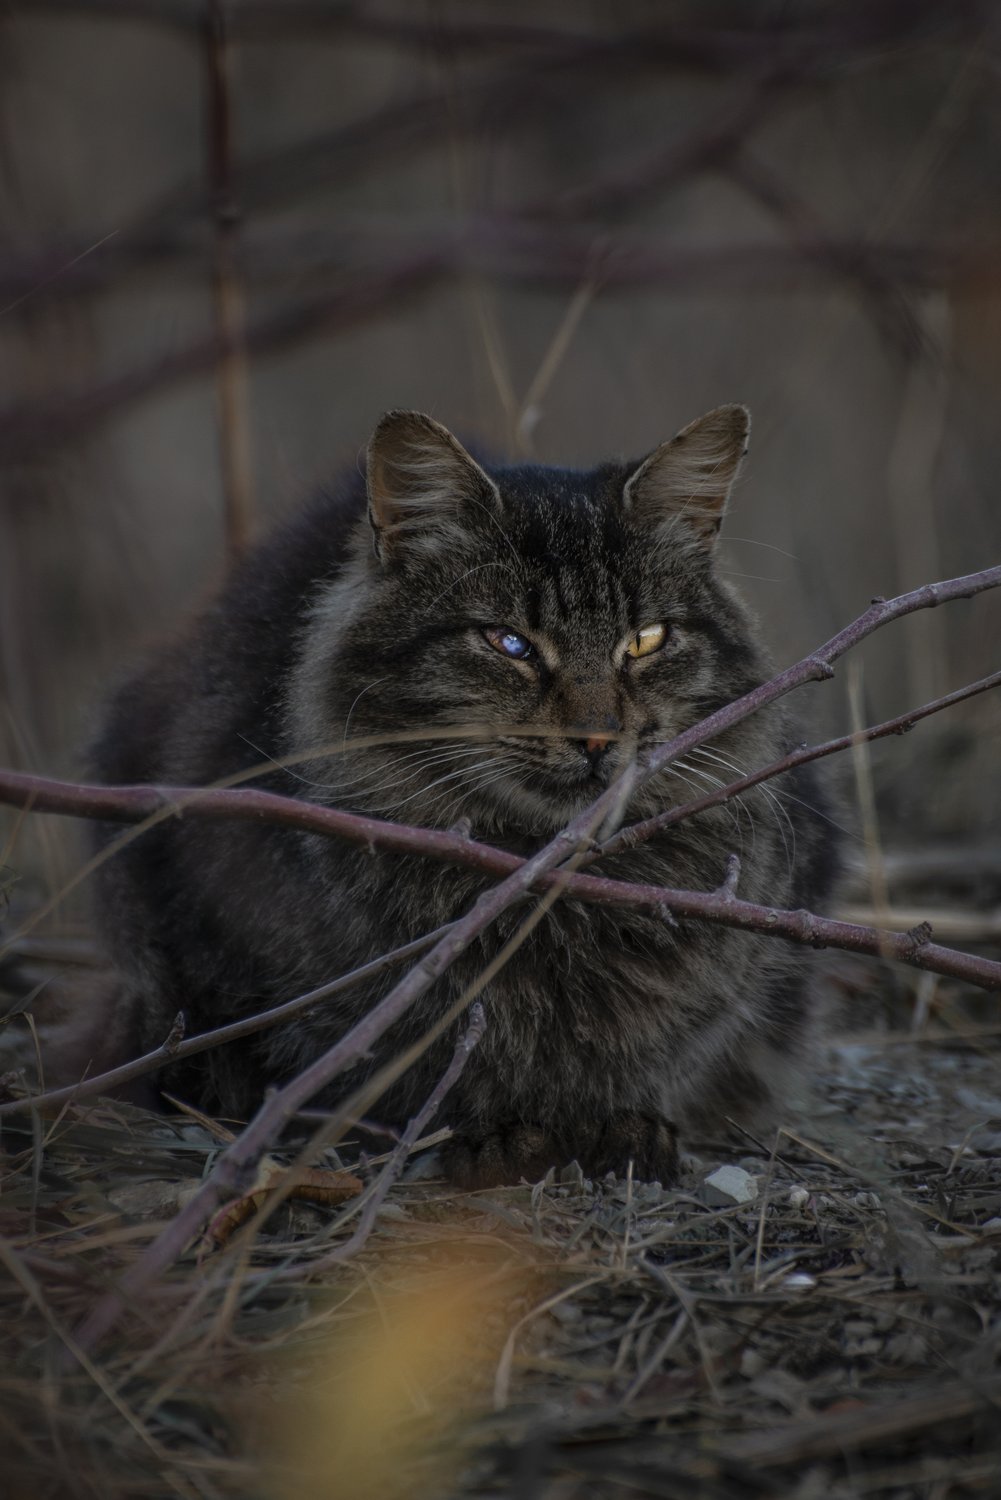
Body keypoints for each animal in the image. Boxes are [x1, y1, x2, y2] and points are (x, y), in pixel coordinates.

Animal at [88, 405, 840, 1188]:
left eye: (645, 641)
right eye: (509, 644)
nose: (598, 738)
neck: (550, 888)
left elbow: (650, 1058)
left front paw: (615, 1125)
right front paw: (500, 1136)